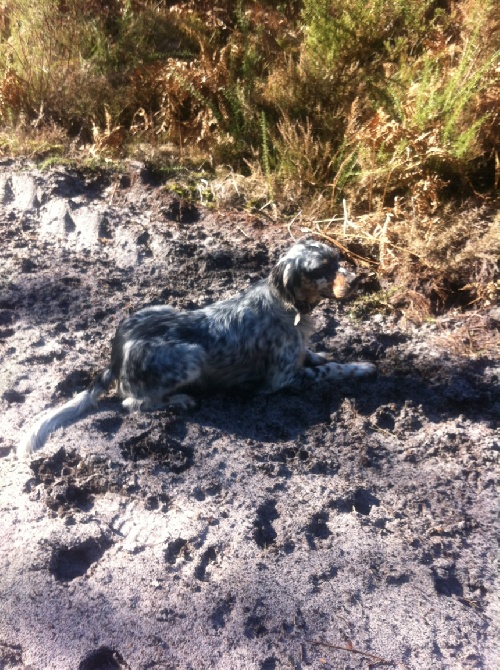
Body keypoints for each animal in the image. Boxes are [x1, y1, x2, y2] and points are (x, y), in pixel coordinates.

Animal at [16, 239, 376, 460]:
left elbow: (314, 356)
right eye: (320, 270)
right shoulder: (280, 382)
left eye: (338, 259)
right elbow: (330, 369)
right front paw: (363, 367)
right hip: (191, 356)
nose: (358, 281)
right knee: (134, 403)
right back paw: (179, 401)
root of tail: (116, 355)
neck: (287, 305)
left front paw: (323, 353)